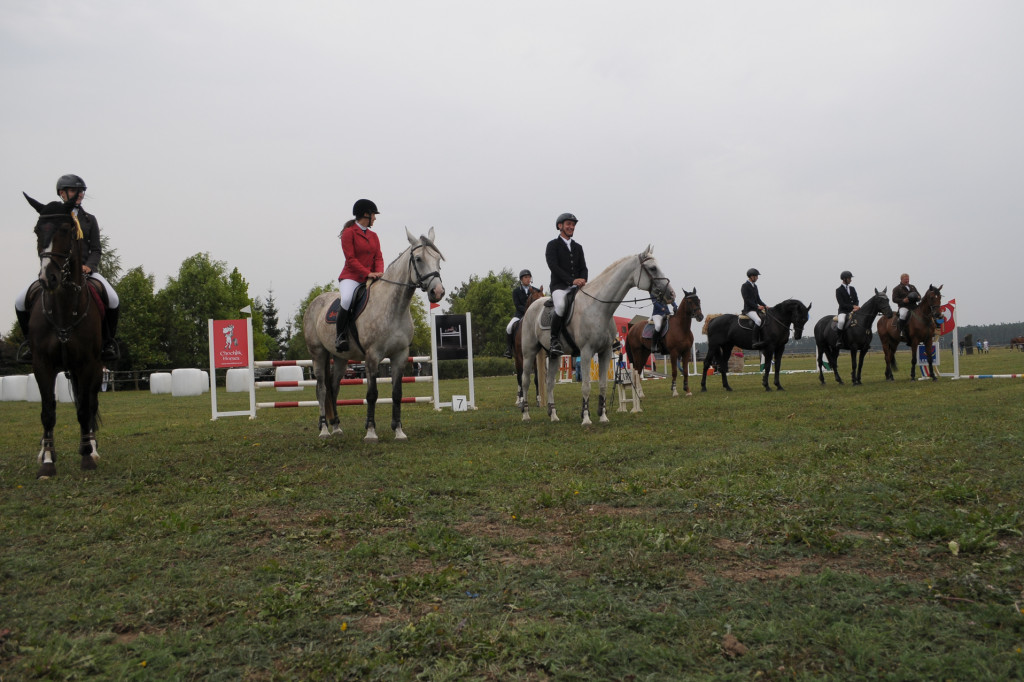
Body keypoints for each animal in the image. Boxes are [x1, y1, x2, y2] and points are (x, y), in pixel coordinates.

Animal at [22, 192, 103, 477]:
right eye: (37, 230)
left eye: (67, 230)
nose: (49, 278)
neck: (64, 309)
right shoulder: (41, 365)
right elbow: (48, 411)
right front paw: (47, 460)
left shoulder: (88, 364)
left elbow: (84, 409)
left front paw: (87, 456)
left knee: (89, 404)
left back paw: (92, 446)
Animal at [305, 228, 446, 440]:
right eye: (419, 258)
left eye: (437, 258)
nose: (437, 292)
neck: (394, 308)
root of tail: (315, 302)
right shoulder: (372, 357)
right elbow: (372, 394)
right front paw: (371, 432)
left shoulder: (400, 356)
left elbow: (397, 394)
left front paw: (398, 430)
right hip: (318, 354)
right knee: (322, 389)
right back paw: (324, 430)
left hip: (340, 359)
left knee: (334, 388)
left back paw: (336, 427)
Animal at [520, 244, 671, 425]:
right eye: (653, 268)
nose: (671, 294)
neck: (598, 307)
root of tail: (532, 306)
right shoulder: (586, 352)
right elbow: (586, 386)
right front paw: (586, 418)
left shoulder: (605, 352)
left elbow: (603, 385)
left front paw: (603, 416)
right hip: (529, 353)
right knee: (525, 381)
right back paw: (525, 415)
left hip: (555, 355)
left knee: (549, 383)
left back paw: (554, 415)